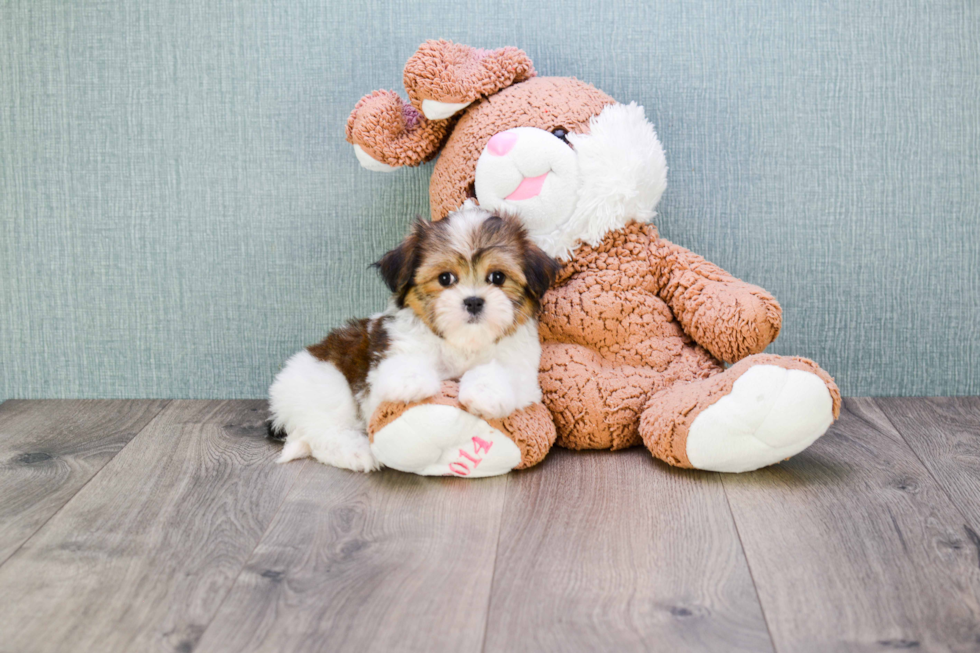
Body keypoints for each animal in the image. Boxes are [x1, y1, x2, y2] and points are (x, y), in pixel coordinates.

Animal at [268, 201, 560, 472]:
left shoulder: (522, 371)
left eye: (497, 277)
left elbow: (501, 371)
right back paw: (357, 452)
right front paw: (411, 382)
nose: (474, 301)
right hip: (325, 384)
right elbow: (404, 362)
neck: (461, 343)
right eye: (445, 278)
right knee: (325, 431)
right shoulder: (392, 349)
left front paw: (484, 393)